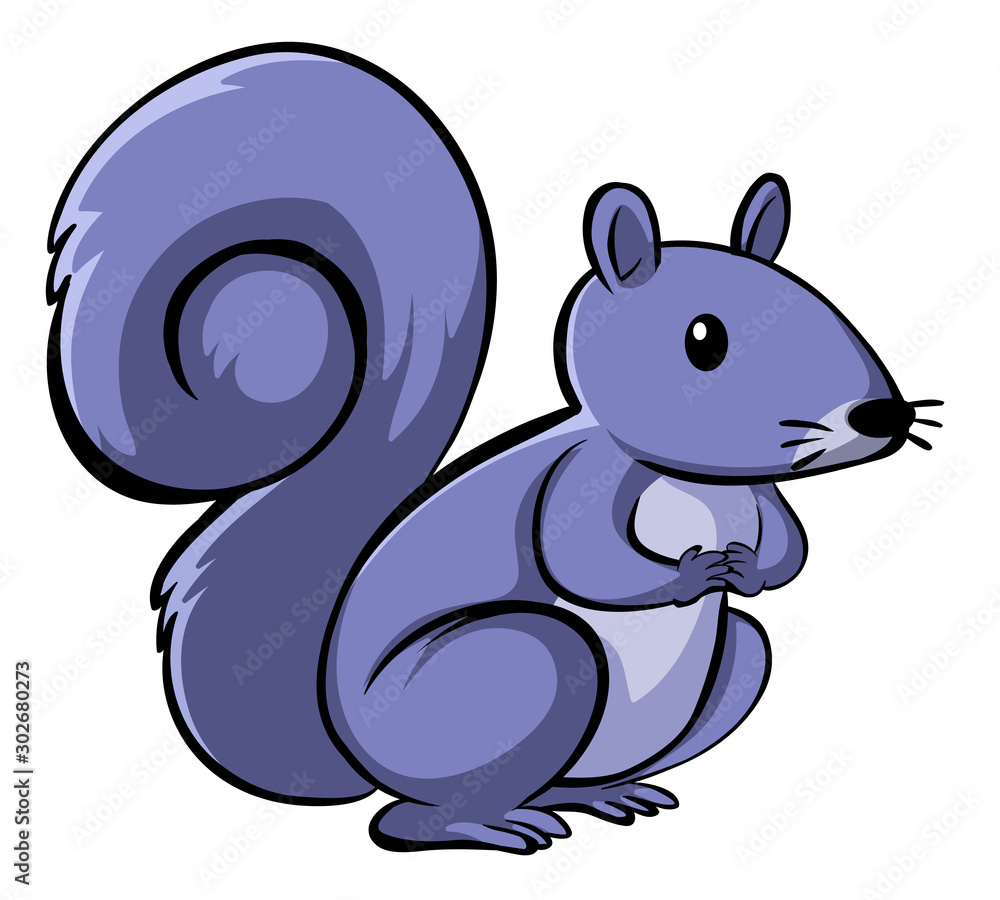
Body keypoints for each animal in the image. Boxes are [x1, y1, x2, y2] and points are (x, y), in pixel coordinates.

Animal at [46, 43, 943, 854]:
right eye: (704, 339)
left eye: (820, 299)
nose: (881, 415)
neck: (696, 480)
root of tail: (353, 752)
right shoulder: (577, 482)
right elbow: (583, 562)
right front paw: (692, 574)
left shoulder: (760, 496)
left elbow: (790, 549)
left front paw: (751, 572)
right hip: (535, 663)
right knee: (407, 818)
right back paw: (489, 821)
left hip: (734, 664)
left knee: (693, 686)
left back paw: (601, 794)